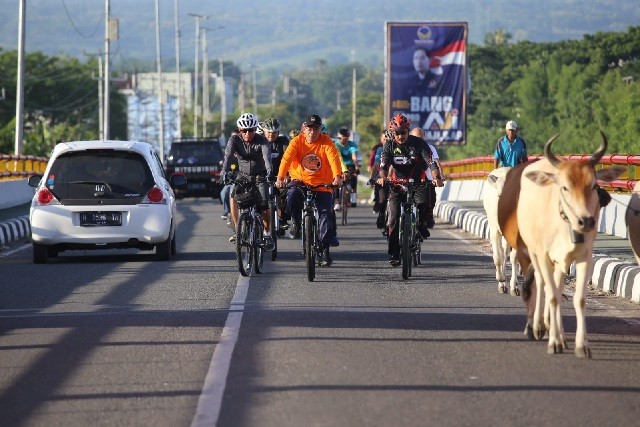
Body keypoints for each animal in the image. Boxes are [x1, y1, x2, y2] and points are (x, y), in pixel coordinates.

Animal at [484, 168, 520, 298]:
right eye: (500, 195)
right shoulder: (494, 231)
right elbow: (497, 257)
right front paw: (500, 279)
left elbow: (514, 258)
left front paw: (514, 286)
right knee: (501, 253)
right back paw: (502, 282)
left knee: (505, 252)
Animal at [498, 133, 624, 358]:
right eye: (564, 187)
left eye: (593, 185)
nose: (586, 221)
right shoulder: (538, 254)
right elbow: (549, 294)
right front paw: (552, 339)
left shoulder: (583, 256)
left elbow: (578, 298)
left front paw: (581, 345)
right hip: (533, 253)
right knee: (540, 284)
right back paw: (538, 326)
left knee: (551, 285)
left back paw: (552, 328)